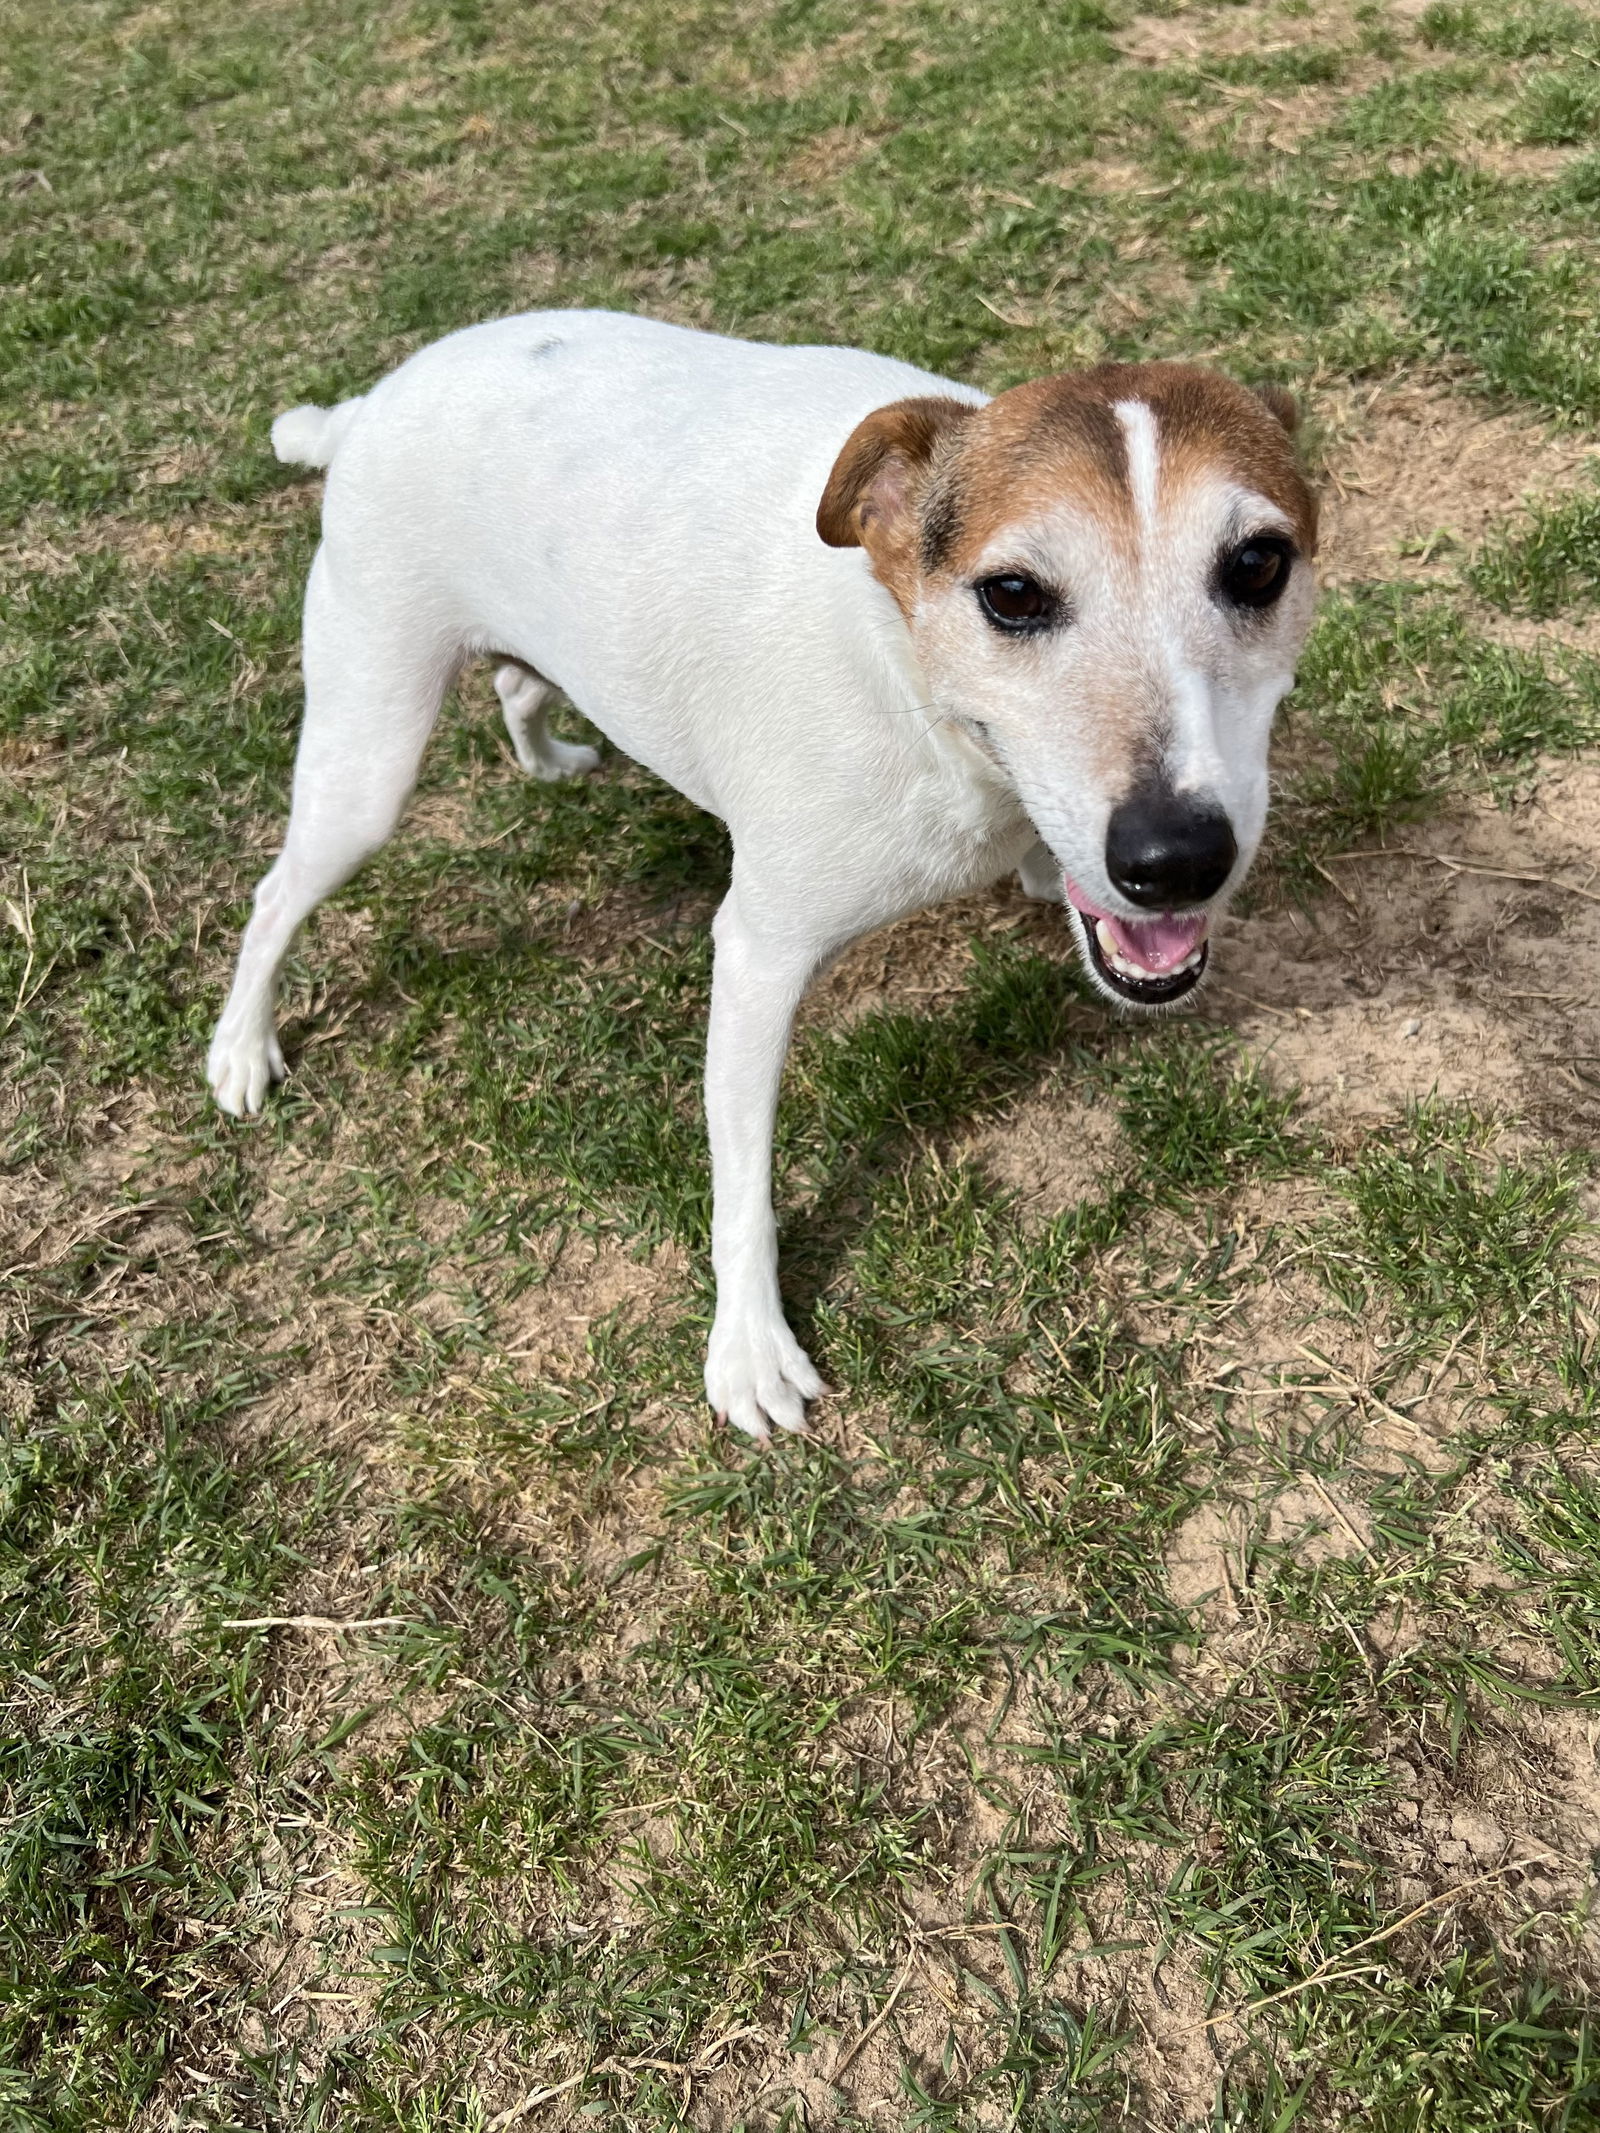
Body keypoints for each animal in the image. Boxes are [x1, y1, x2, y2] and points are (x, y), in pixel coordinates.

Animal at [206, 309, 1322, 1441]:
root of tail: (367, 405)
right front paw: (747, 1346)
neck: (902, 661)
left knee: (519, 686)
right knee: (275, 896)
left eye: (1258, 564)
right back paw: (242, 1049)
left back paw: (550, 758)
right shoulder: (758, 956)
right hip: (367, 759)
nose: (1174, 860)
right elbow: (741, 1179)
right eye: (1012, 594)